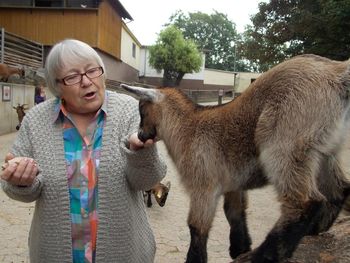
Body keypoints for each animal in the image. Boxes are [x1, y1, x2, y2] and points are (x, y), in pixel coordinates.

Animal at [119, 54, 350, 262]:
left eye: (142, 110)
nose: (140, 135)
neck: (188, 128)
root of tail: (336, 73)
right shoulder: (233, 183)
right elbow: (234, 213)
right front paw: (239, 248)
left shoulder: (204, 185)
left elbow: (197, 227)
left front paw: (199, 259)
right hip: (323, 150)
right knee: (339, 188)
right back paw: (315, 230)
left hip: (285, 143)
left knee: (305, 201)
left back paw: (262, 256)